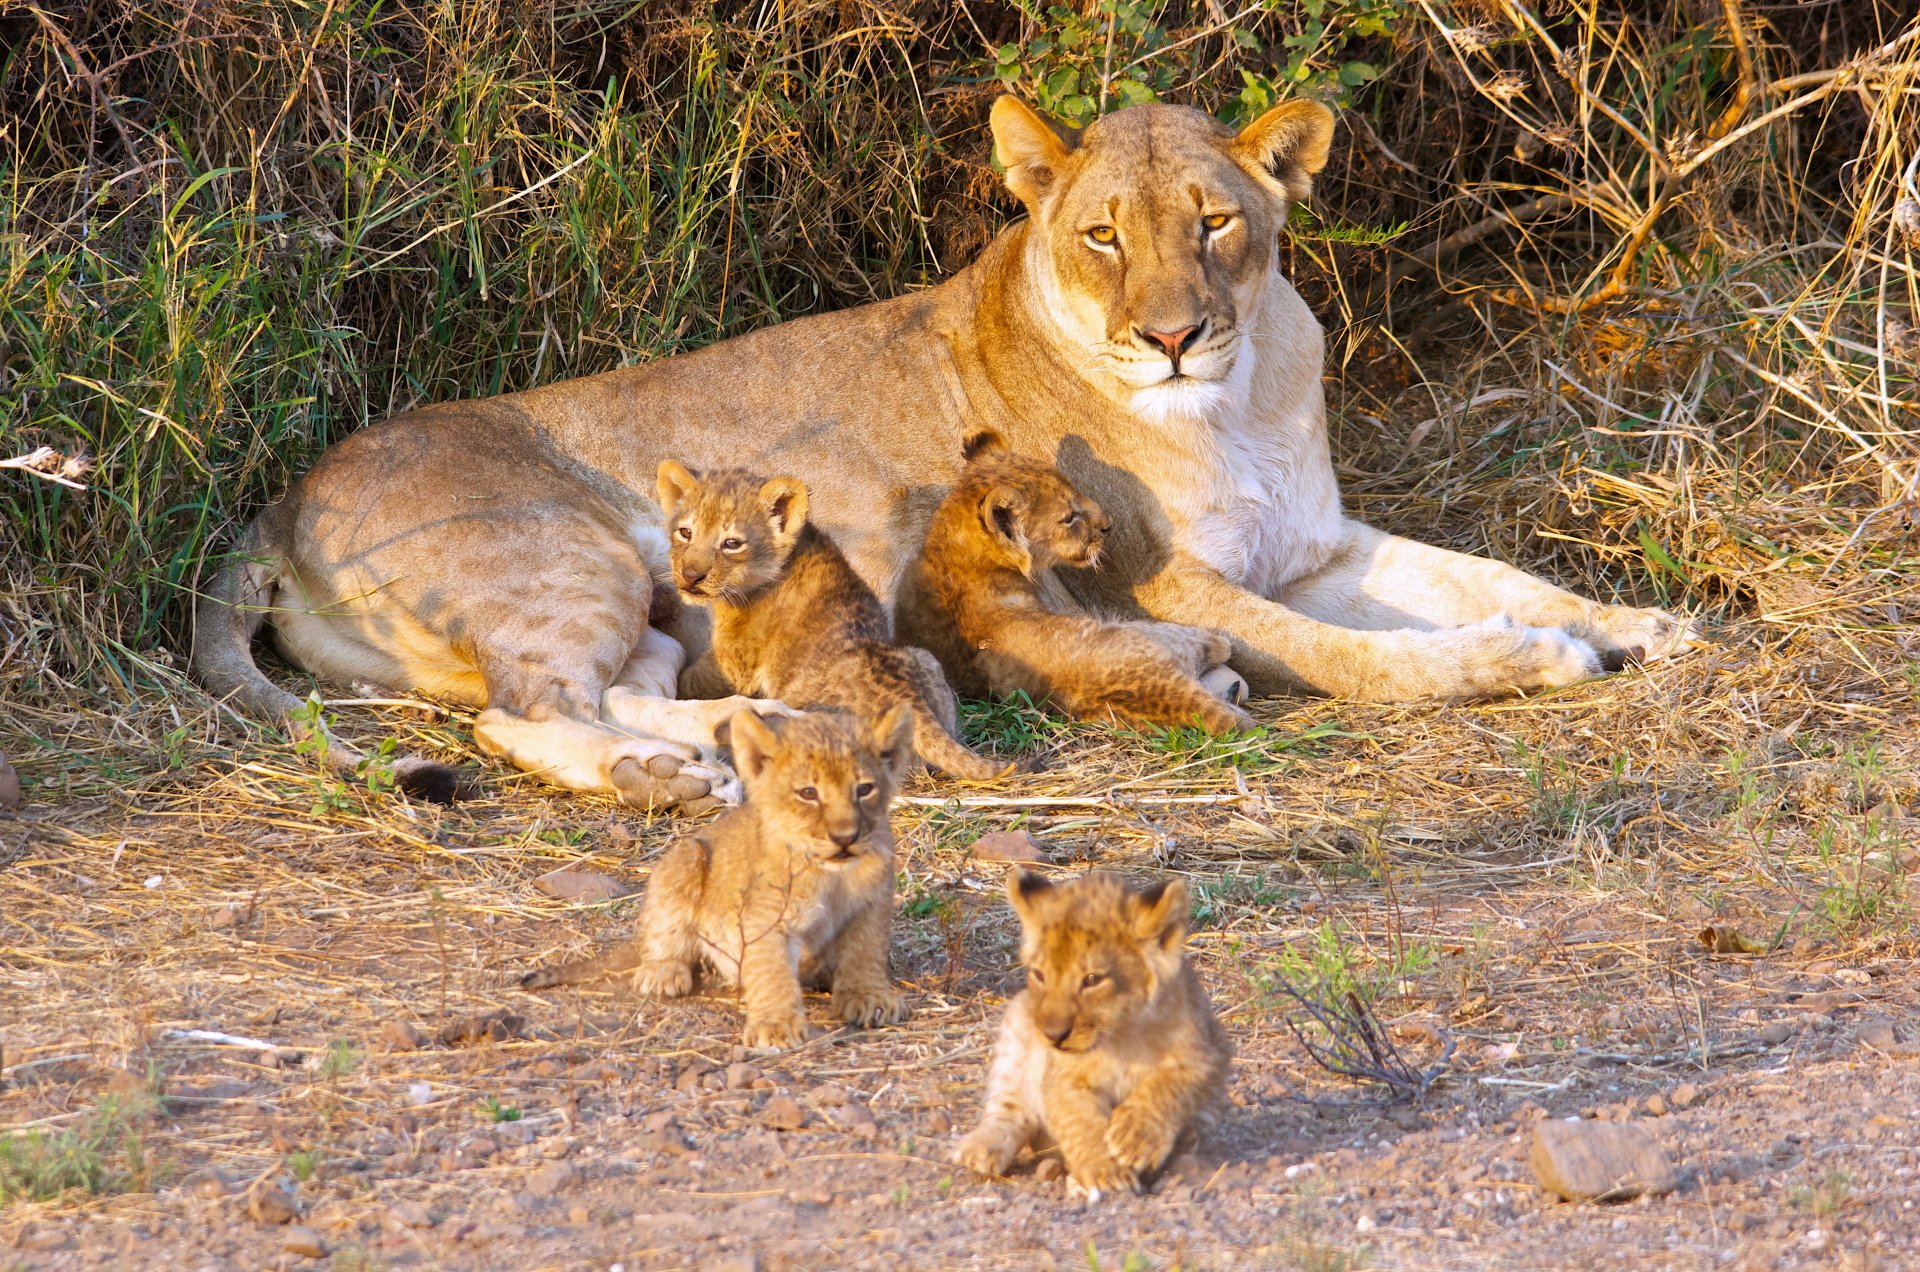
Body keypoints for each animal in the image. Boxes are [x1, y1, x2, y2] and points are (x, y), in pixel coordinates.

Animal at [194, 94, 1693, 810]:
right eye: (1103, 235)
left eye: (1215, 222)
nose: (1171, 336)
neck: (1241, 394)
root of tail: (277, 502)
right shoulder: (1149, 581)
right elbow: (1358, 657)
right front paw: (1519, 663)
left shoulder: (1316, 545)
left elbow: (1488, 575)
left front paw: (1638, 624)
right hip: (571, 559)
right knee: (524, 713)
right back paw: (659, 780)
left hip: (661, 616)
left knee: (631, 688)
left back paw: (740, 741)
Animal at [519, 706, 912, 1050]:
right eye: (808, 793)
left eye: (864, 789)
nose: (845, 837)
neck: (828, 874)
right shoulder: (764, 917)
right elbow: (771, 971)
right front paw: (777, 1027)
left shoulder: (871, 906)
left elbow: (864, 954)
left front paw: (869, 997)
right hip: (686, 857)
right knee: (663, 939)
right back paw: (664, 971)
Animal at [954, 870, 1232, 1197]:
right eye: (1039, 975)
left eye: (1092, 980)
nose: (1053, 1036)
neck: (1120, 1037)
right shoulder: (1062, 1079)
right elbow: (1081, 1122)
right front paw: (1105, 1169)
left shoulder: (1208, 1054)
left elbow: (1169, 1085)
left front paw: (1135, 1136)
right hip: (1017, 1026)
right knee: (1009, 1107)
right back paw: (981, 1149)